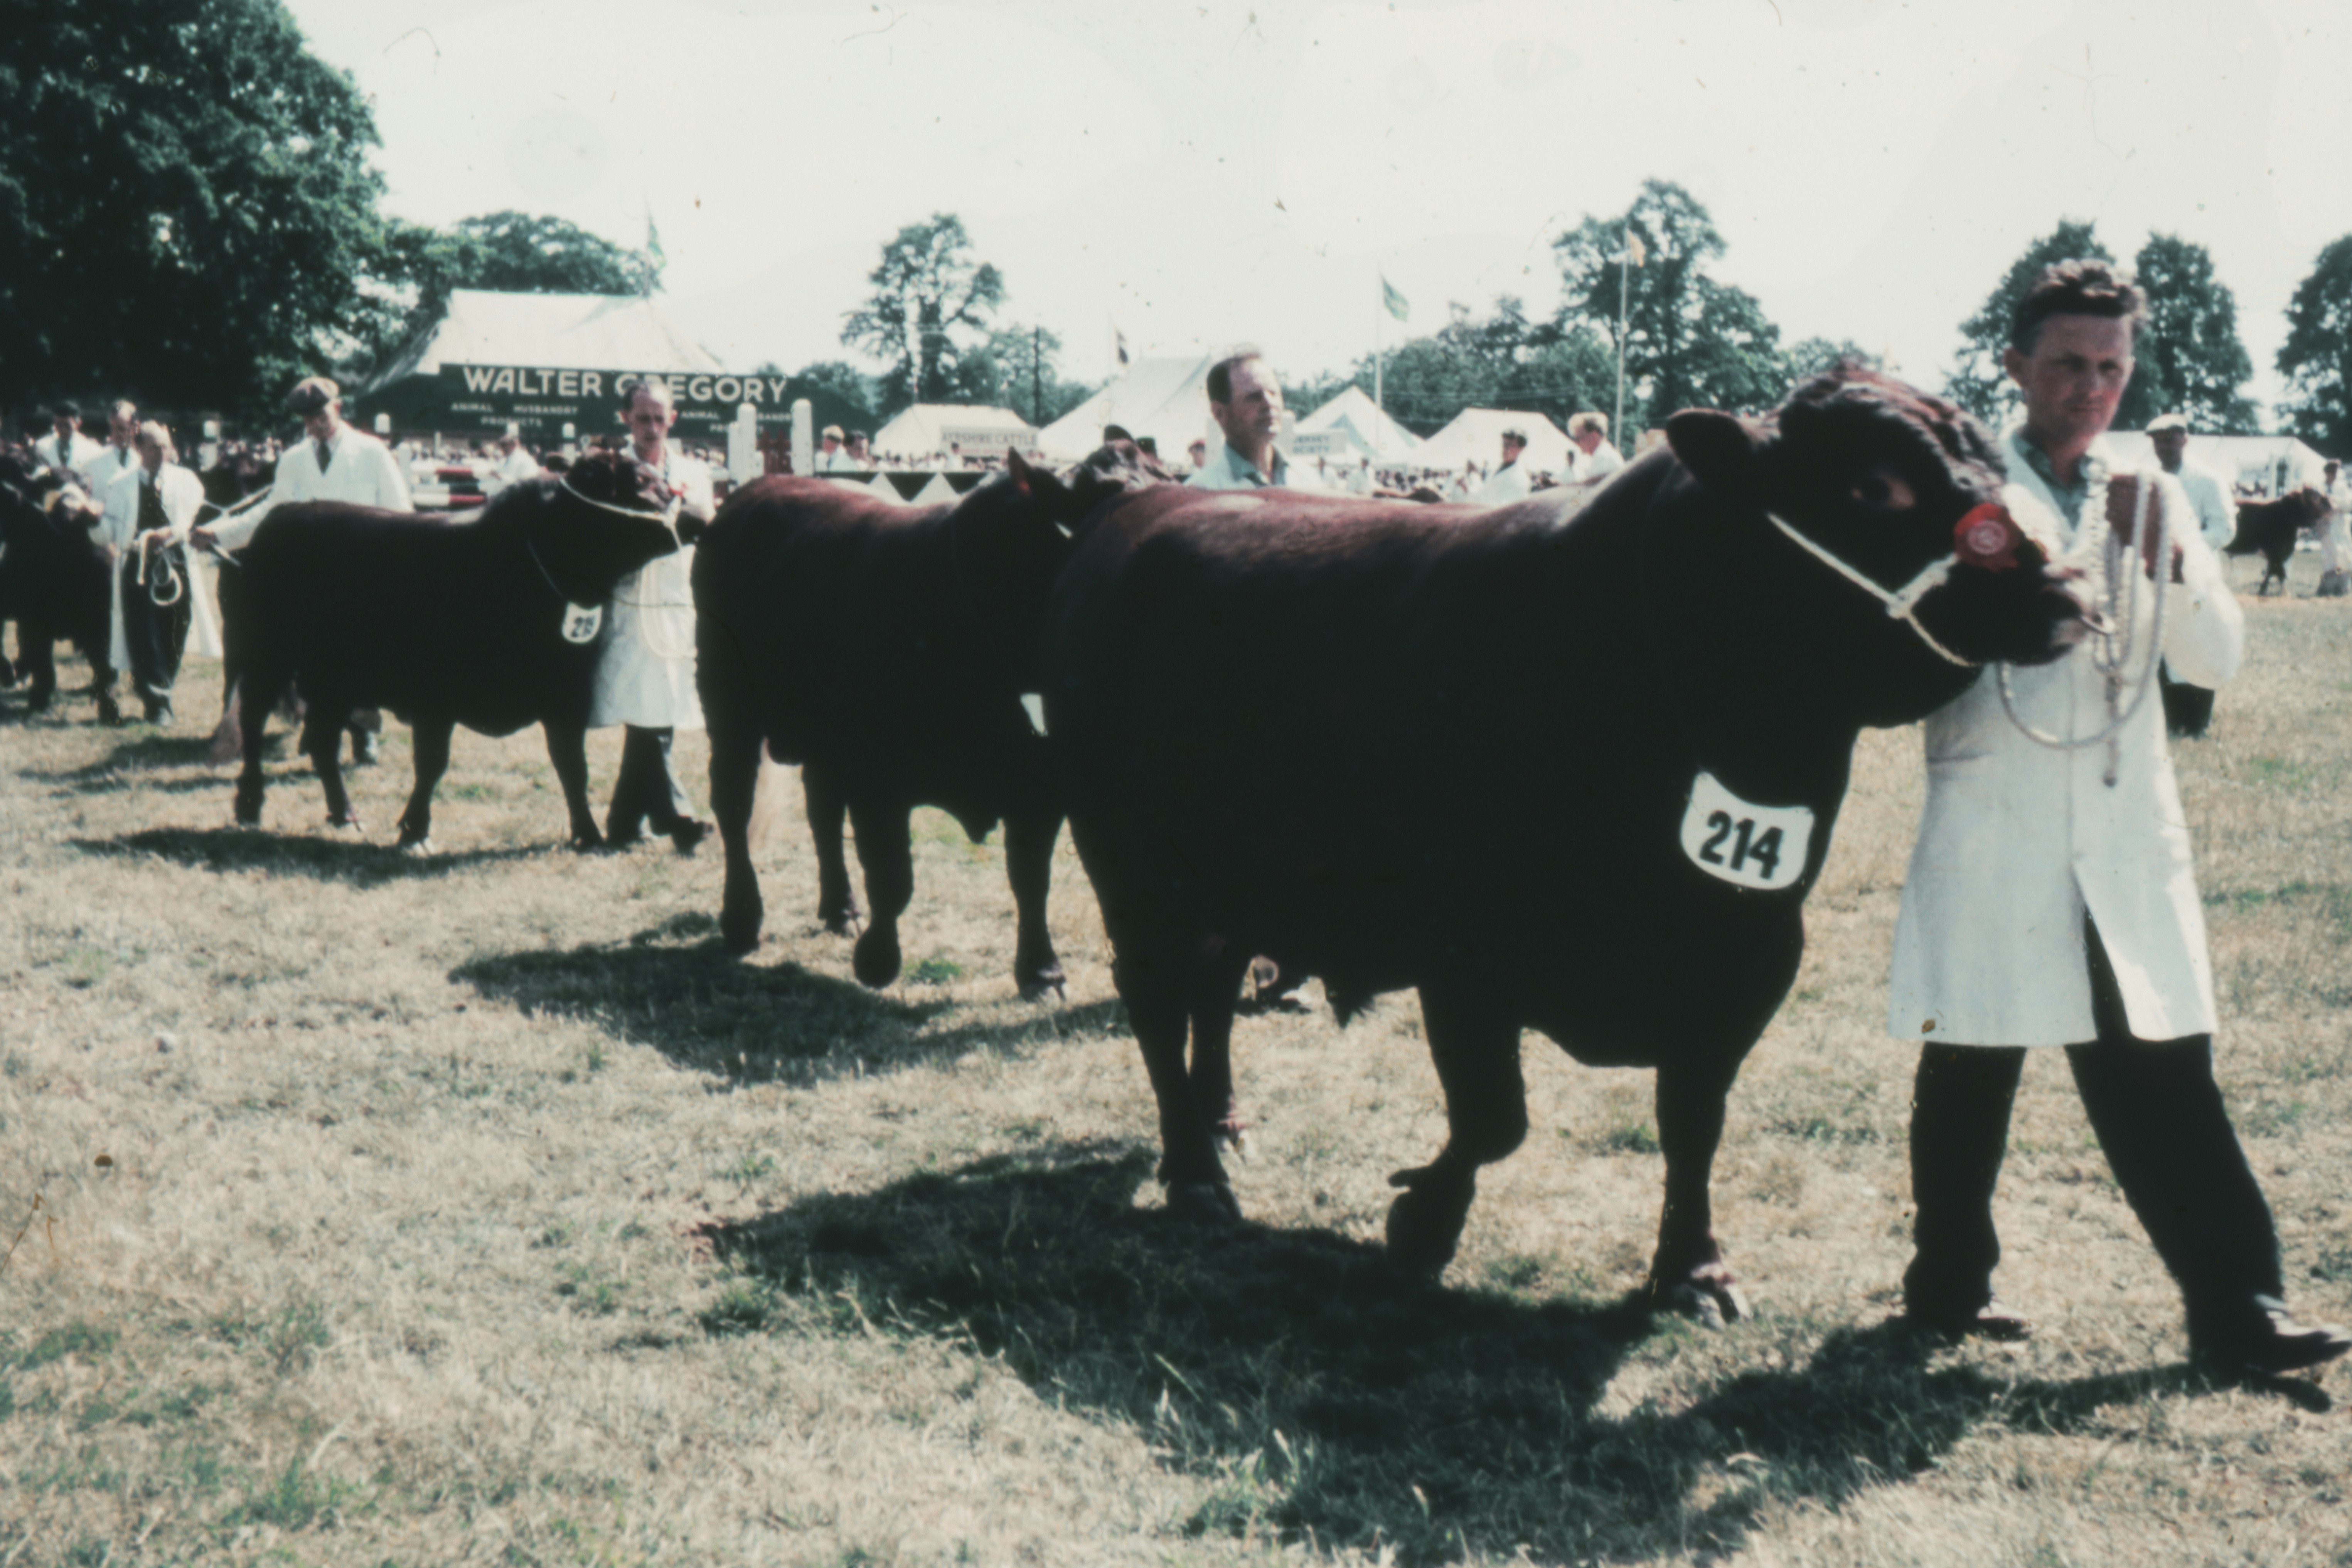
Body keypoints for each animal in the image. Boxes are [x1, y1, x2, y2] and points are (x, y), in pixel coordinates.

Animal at [0, 453, 116, 724]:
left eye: (84, 488)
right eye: (47, 485)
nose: (75, 511)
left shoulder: (101, 620)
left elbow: (103, 663)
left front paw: (109, 709)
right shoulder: (33, 622)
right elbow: (43, 664)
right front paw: (39, 699)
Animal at [231, 446, 696, 851]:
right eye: (639, 482)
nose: (693, 513)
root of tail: (286, 513)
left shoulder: (566, 698)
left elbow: (572, 767)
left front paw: (588, 834)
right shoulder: (435, 698)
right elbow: (432, 763)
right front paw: (415, 830)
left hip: (334, 681)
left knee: (323, 742)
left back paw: (344, 814)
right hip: (264, 659)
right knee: (252, 725)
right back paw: (250, 804)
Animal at [2220, 484, 2333, 595]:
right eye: (2315, 497)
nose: (2331, 506)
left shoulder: (2277, 555)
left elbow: (2273, 572)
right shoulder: (2276, 554)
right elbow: (2278, 572)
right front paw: (2282, 592)